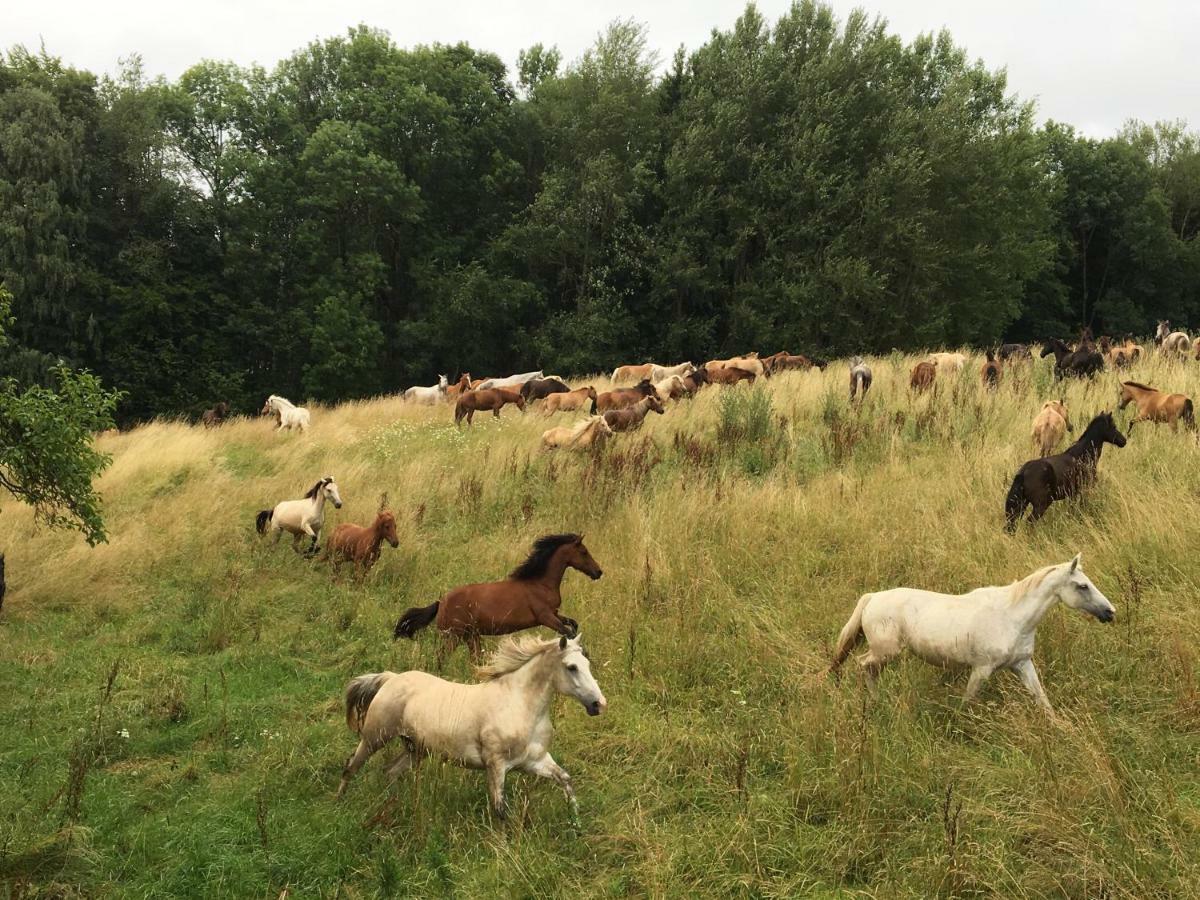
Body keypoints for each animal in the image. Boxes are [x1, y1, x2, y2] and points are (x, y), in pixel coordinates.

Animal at [336, 633, 609, 825]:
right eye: (572, 667)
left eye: (587, 663)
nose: (599, 704)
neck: (519, 705)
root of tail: (391, 678)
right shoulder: (496, 765)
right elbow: (500, 810)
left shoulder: (535, 761)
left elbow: (566, 780)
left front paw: (576, 824)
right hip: (374, 737)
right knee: (351, 767)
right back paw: (339, 804)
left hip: (415, 749)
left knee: (390, 771)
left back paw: (396, 806)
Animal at [391, 535, 600, 662]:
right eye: (584, 552)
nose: (598, 572)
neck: (540, 583)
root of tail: (441, 602)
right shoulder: (546, 617)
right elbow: (568, 631)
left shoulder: (555, 613)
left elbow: (573, 624)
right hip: (453, 636)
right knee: (441, 658)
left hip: (470, 635)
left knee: (475, 660)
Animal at [830, 554, 1108, 715]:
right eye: (1082, 586)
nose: (1110, 612)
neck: (1012, 617)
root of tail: (873, 597)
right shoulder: (982, 669)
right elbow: (967, 700)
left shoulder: (1022, 664)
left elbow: (1042, 699)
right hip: (885, 652)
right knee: (862, 666)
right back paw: (874, 702)